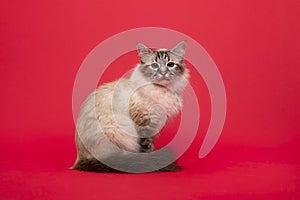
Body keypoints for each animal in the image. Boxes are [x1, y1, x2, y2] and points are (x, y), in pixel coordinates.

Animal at [71, 41, 189, 173]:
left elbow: (150, 147)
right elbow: (145, 148)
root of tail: (80, 160)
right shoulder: (144, 123)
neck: (162, 90)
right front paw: (148, 164)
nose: (163, 73)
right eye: (154, 65)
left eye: (170, 64)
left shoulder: (156, 126)